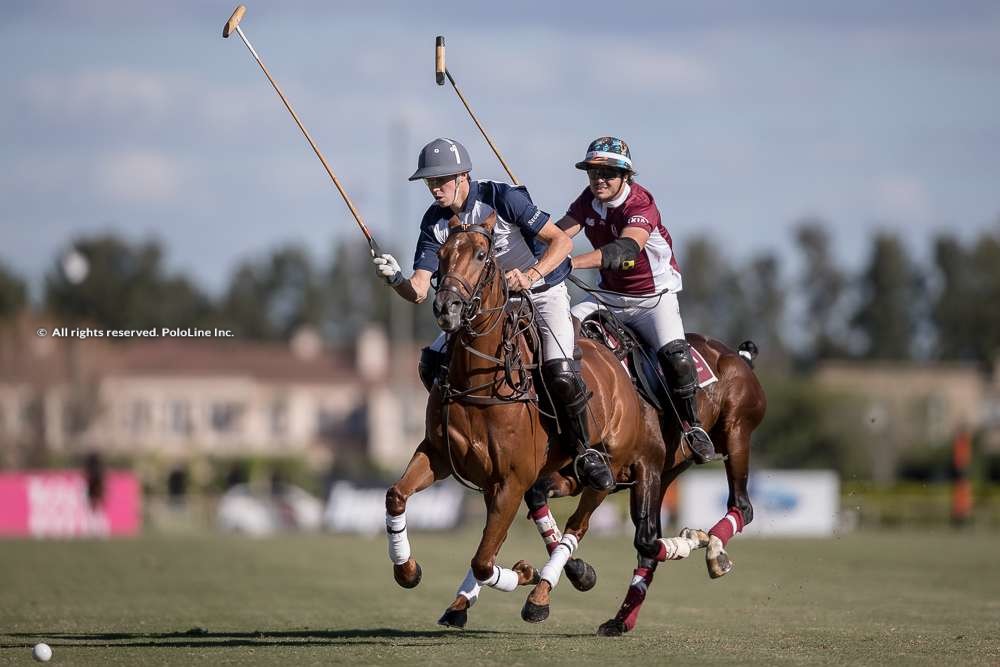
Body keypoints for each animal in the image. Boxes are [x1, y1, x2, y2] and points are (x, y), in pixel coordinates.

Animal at [382, 215, 664, 632]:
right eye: (442, 254)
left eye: (482, 256)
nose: (447, 308)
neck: (480, 380)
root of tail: (616, 357)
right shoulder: (440, 456)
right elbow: (397, 496)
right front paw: (408, 571)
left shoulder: (511, 481)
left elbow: (484, 561)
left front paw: (525, 573)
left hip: (608, 468)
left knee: (577, 524)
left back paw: (541, 595)